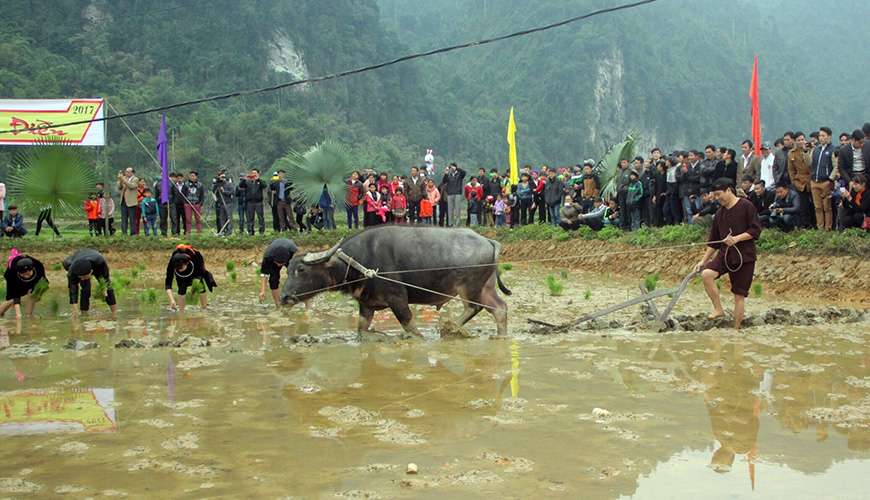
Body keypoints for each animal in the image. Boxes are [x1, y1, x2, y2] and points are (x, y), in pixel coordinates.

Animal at [280, 226, 510, 336]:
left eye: (301, 269)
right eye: (287, 269)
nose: (284, 297)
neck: (360, 260)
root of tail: (489, 240)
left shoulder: (398, 299)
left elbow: (410, 327)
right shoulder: (366, 305)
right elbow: (361, 329)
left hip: (468, 287)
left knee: (473, 307)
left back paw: (450, 327)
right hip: (486, 288)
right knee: (499, 308)